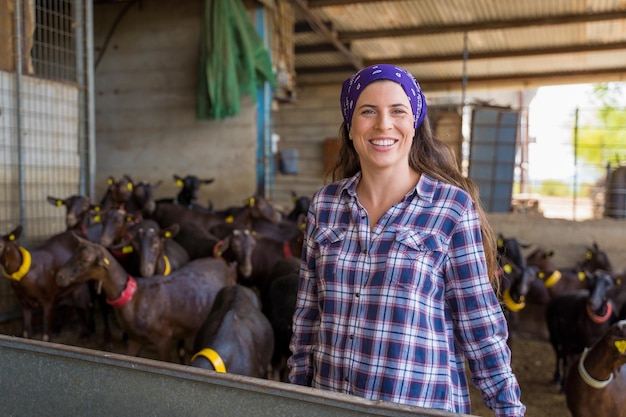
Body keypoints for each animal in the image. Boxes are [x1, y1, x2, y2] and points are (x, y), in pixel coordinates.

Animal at [54, 236, 236, 362]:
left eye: (85, 260)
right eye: (73, 254)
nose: (60, 276)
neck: (134, 298)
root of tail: (222, 262)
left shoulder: (163, 339)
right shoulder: (135, 339)